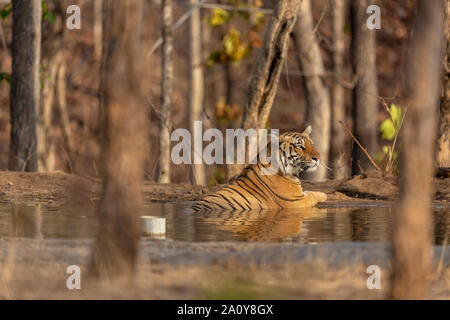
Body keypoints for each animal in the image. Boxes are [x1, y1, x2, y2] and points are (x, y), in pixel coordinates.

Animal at [191, 125, 326, 212]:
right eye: (300, 146)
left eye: (311, 144)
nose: (318, 157)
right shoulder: (297, 202)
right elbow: (314, 194)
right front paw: (324, 194)